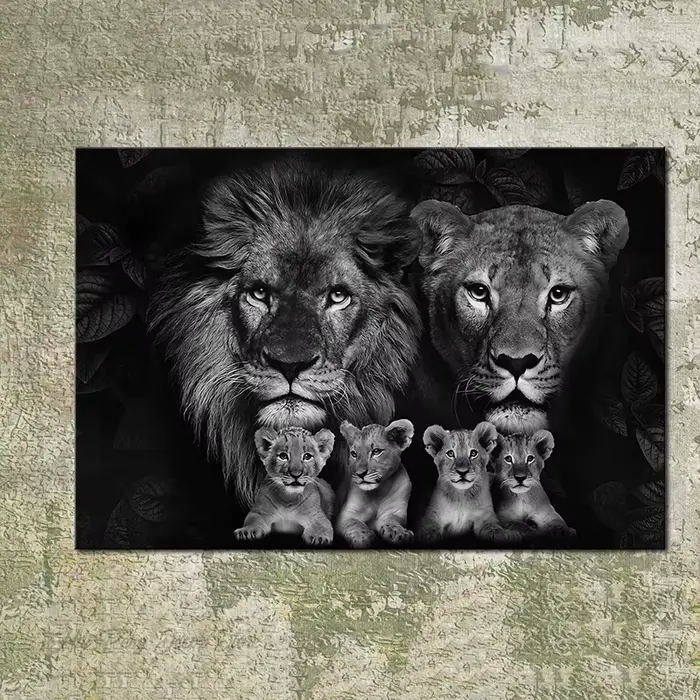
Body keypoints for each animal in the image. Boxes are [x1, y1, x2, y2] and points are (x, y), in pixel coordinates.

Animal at [336, 419, 415, 548]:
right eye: (354, 454)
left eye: (376, 451)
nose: (360, 474)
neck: (378, 492)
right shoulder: (346, 515)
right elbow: (354, 523)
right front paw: (363, 537)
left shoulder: (394, 512)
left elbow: (391, 521)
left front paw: (399, 533)